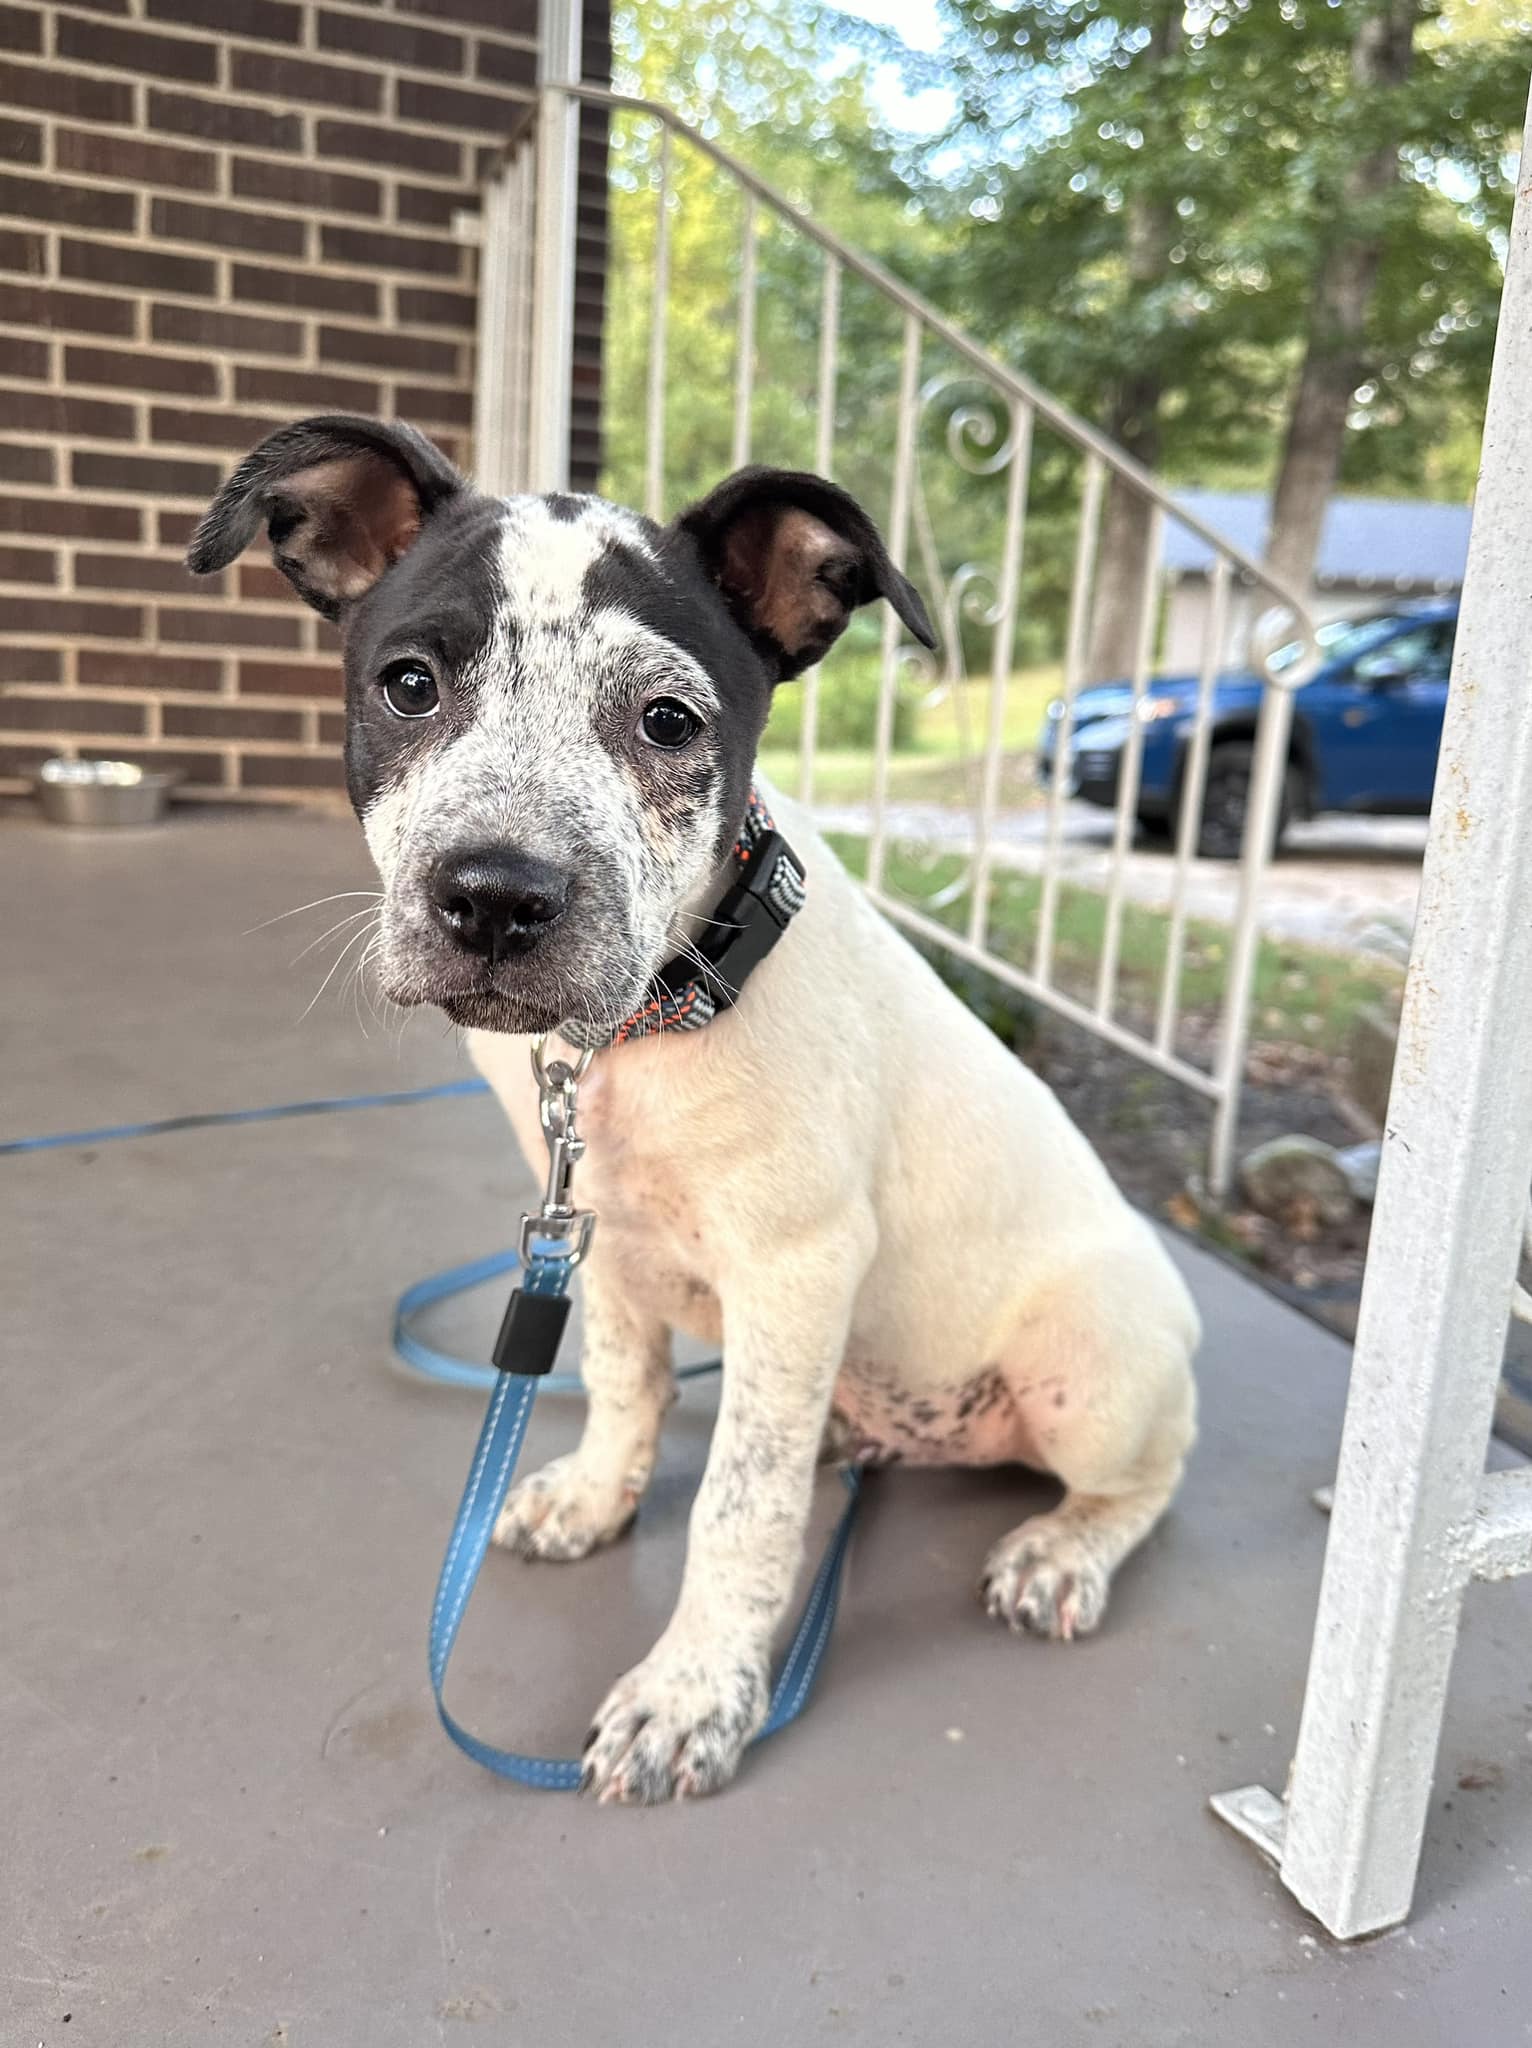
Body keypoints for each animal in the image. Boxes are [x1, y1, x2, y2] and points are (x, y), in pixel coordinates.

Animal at [188, 415, 1196, 1810]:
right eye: (408, 684)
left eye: (667, 720)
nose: (493, 897)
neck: (646, 1025)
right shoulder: (596, 1232)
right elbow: (624, 1382)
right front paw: (594, 1497)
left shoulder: (797, 1261)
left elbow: (739, 1504)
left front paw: (692, 1690)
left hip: (1089, 1368)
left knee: (1148, 1474)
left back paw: (1061, 1548)